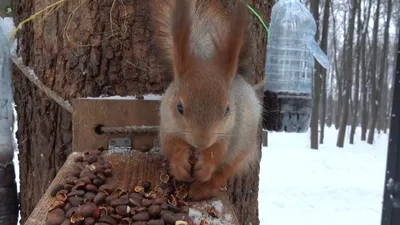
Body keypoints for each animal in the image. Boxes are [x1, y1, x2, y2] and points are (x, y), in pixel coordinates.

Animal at [151, 0, 262, 200]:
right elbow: (171, 146)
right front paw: (180, 164)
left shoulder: (226, 133)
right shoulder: (168, 126)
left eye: (227, 110)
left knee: (223, 173)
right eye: (179, 107)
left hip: (242, 148)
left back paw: (202, 189)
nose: (202, 142)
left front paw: (205, 166)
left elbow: (217, 152)